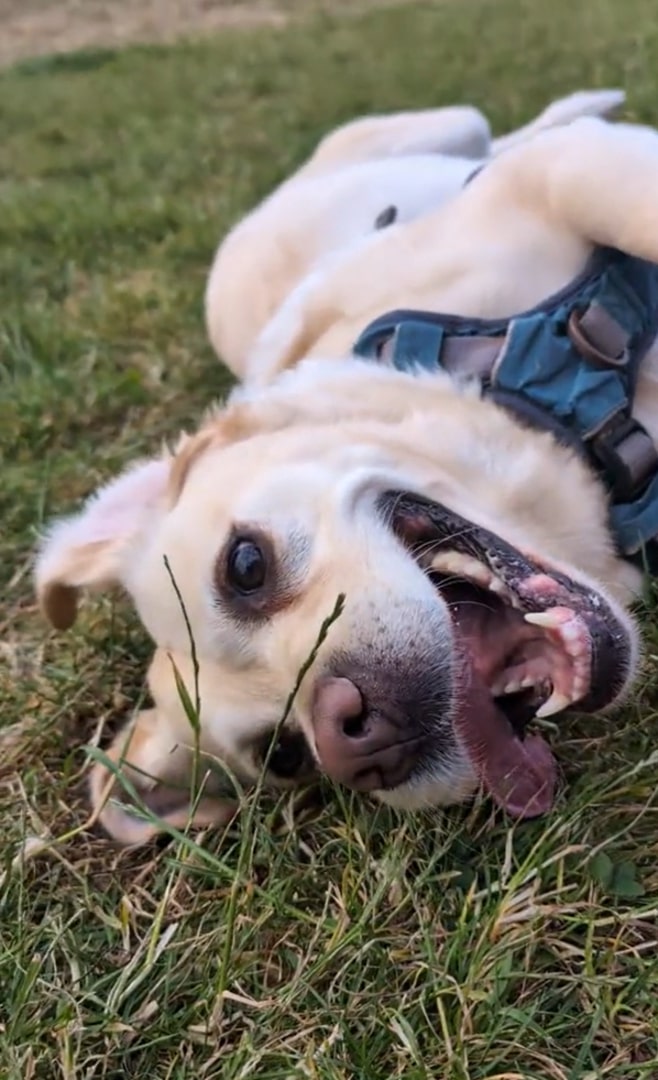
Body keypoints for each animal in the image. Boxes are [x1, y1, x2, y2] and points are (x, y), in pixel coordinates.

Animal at [35, 86, 656, 842]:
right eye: (286, 754)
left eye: (245, 565)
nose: (359, 740)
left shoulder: (561, 176)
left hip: (452, 128)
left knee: (508, 138)